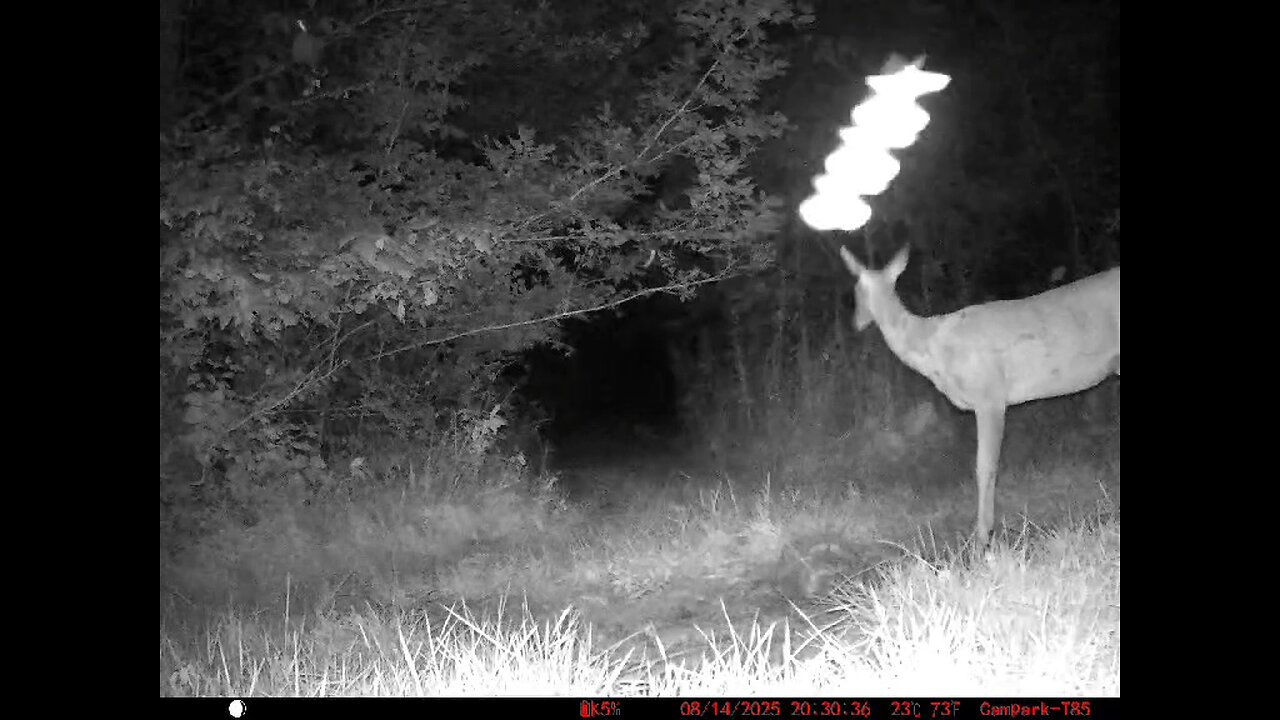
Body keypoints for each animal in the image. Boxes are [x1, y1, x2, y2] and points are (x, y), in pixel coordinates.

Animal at [839, 244, 1120, 548]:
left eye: (856, 290)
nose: (854, 323)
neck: (934, 346)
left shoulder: (990, 396)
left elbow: (985, 467)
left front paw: (983, 535)